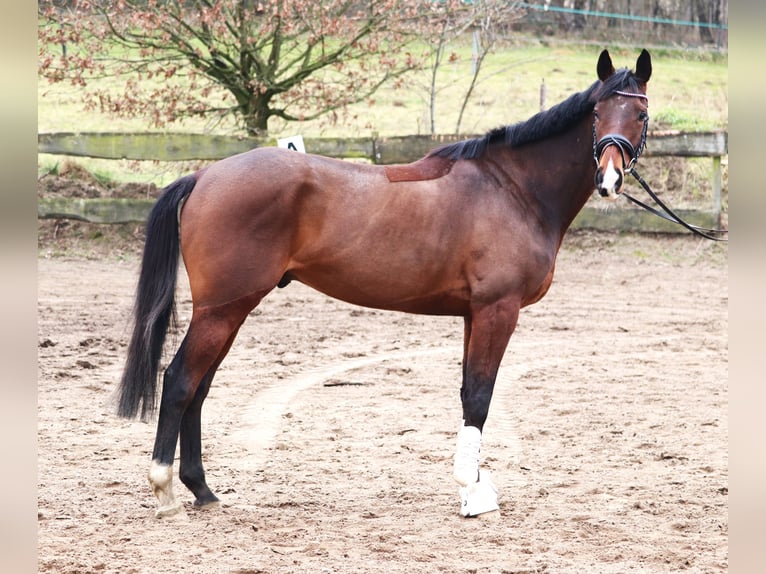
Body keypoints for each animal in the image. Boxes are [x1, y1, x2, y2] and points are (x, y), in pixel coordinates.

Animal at [118, 48, 656, 516]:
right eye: (597, 112)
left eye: (640, 115)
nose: (609, 178)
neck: (513, 189)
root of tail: (203, 177)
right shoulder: (497, 310)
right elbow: (480, 396)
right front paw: (472, 492)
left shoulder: (474, 314)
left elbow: (469, 393)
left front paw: (473, 487)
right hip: (223, 309)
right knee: (180, 381)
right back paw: (165, 490)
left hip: (229, 310)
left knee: (200, 388)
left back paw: (202, 490)